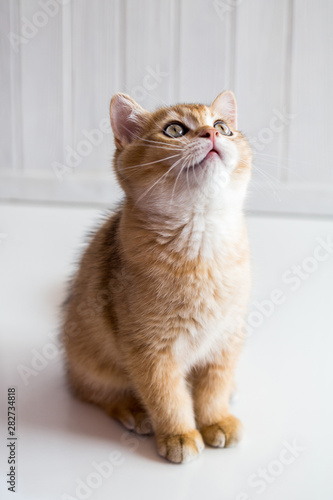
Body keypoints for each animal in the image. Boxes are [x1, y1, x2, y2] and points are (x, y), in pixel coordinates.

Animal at [62, 91, 250, 464]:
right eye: (175, 129)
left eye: (223, 126)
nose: (212, 133)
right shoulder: (150, 350)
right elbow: (167, 397)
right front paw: (179, 434)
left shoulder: (226, 339)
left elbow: (214, 387)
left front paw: (216, 419)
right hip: (91, 362)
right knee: (92, 390)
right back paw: (133, 411)